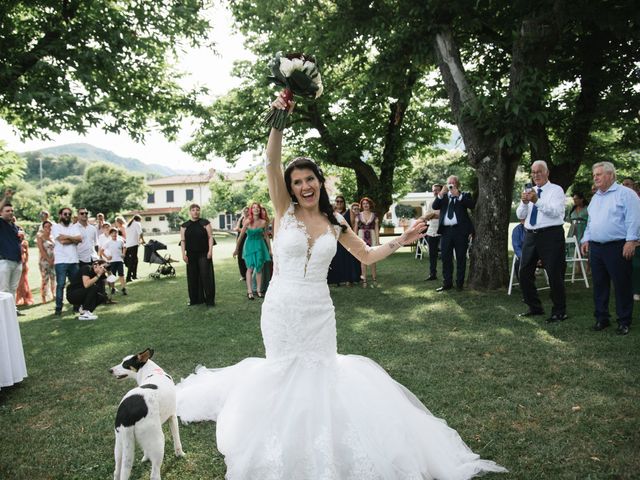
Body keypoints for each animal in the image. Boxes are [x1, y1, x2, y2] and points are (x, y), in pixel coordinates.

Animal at [109, 348, 184, 480]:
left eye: (125, 364)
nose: (110, 370)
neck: (153, 372)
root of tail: (127, 413)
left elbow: (146, 450)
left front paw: (146, 457)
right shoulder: (173, 416)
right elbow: (177, 439)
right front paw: (180, 454)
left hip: (120, 445)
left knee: (116, 472)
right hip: (159, 440)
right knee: (154, 474)